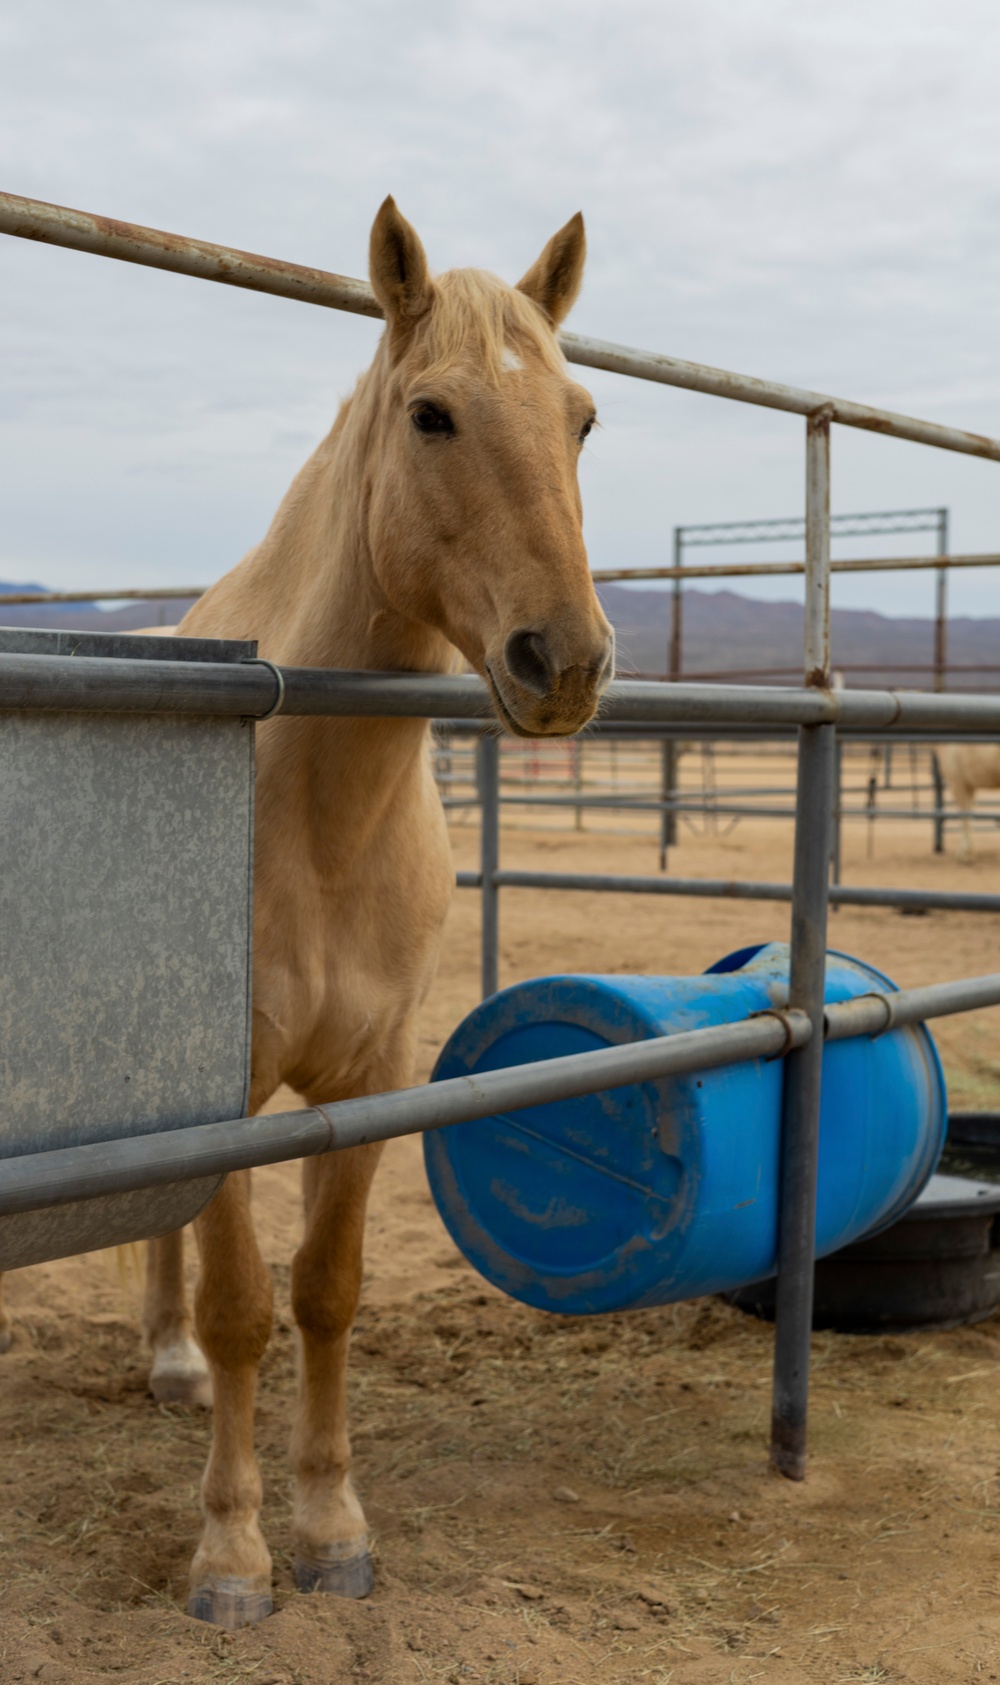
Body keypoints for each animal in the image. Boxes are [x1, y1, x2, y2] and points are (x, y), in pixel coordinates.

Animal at [15, 200, 607, 1631]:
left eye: (581, 419)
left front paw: (334, 1525)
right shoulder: (228, 1081)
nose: (564, 661)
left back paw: (166, 1360)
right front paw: (231, 1551)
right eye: (433, 414)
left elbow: (328, 1293)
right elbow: (245, 1304)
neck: (321, 816)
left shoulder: (375, 1074)